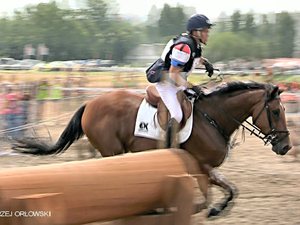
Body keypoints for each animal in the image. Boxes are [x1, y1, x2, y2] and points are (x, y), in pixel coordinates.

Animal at [15, 81, 292, 216]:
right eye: (276, 112)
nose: (286, 146)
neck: (213, 118)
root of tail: (90, 103)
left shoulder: (203, 169)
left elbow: (230, 190)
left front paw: (215, 209)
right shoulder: (202, 166)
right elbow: (217, 194)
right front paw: (211, 209)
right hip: (112, 151)